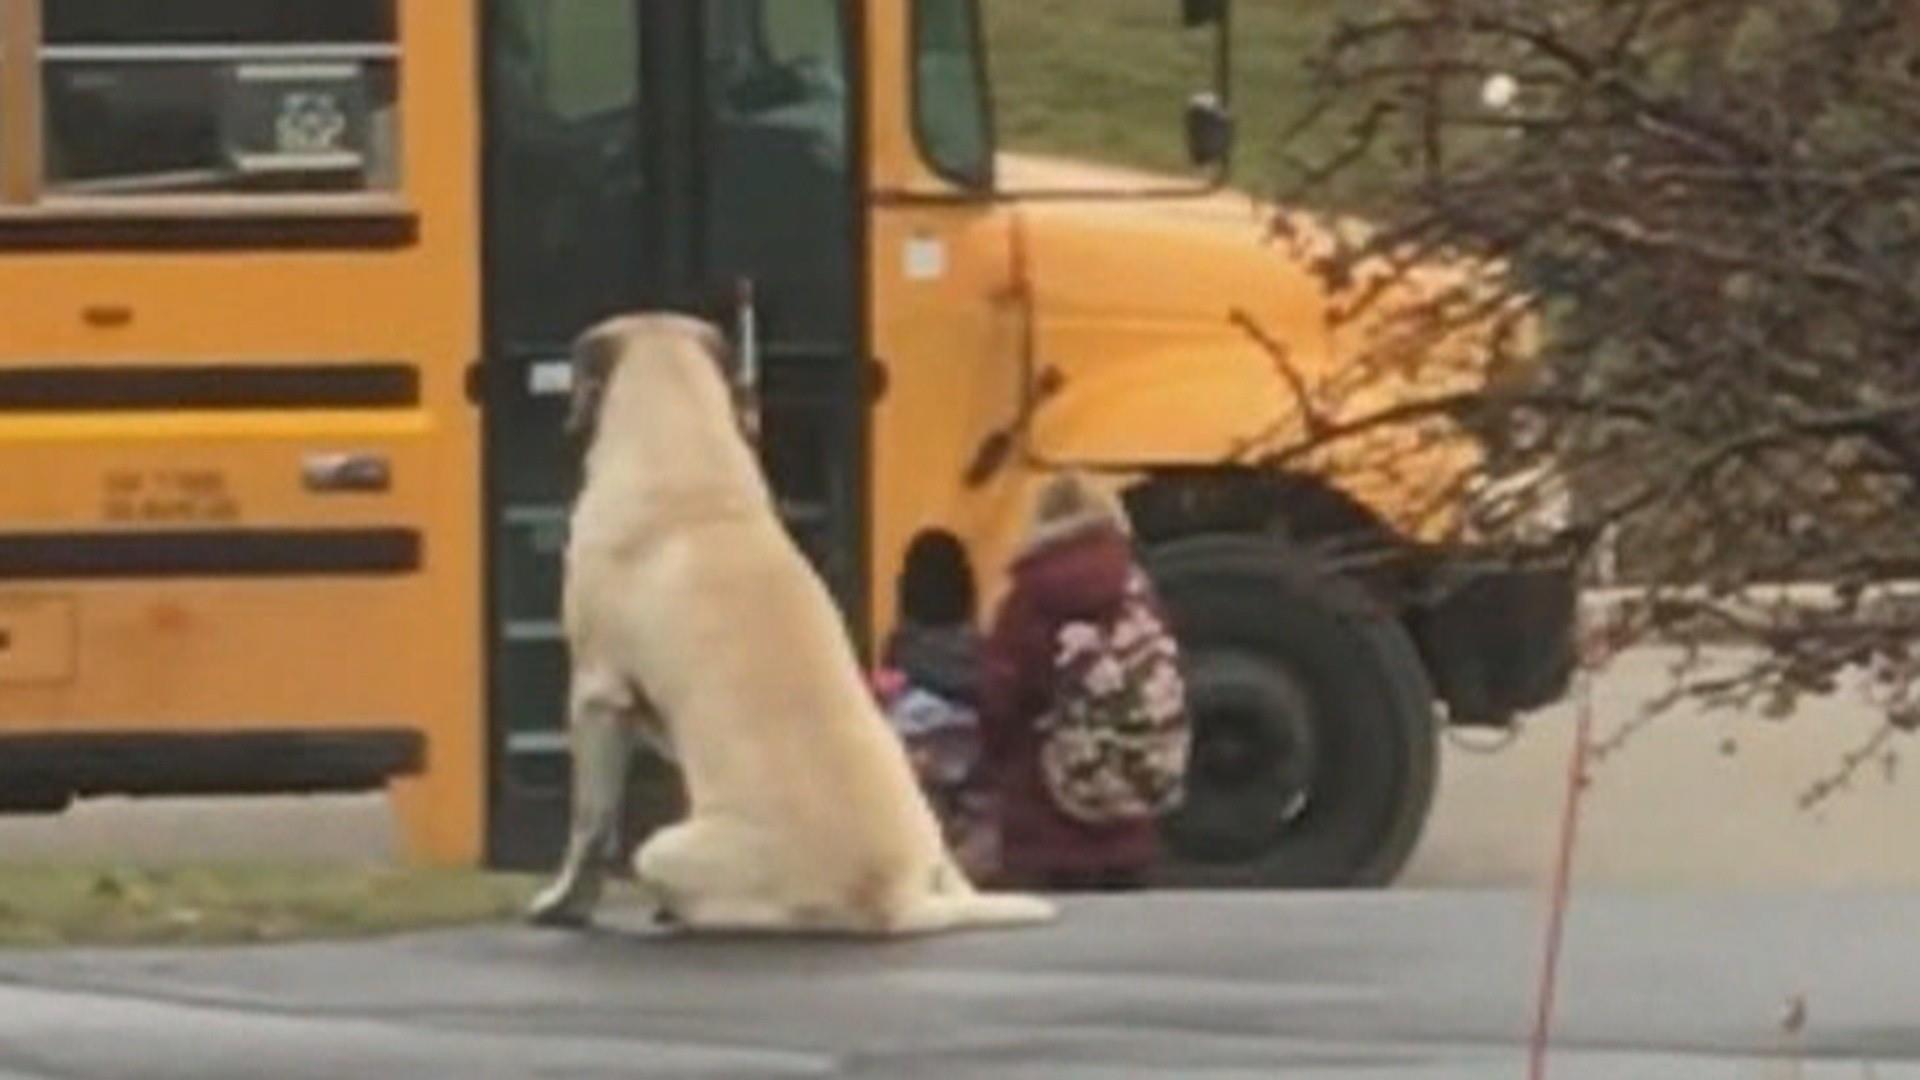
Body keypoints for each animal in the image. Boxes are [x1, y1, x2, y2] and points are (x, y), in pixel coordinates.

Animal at [526, 311, 1052, 933]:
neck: (687, 466)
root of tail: (894, 896)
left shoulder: (597, 695)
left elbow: (590, 822)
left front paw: (565, 902)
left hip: (663, 851)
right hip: (935, 843)